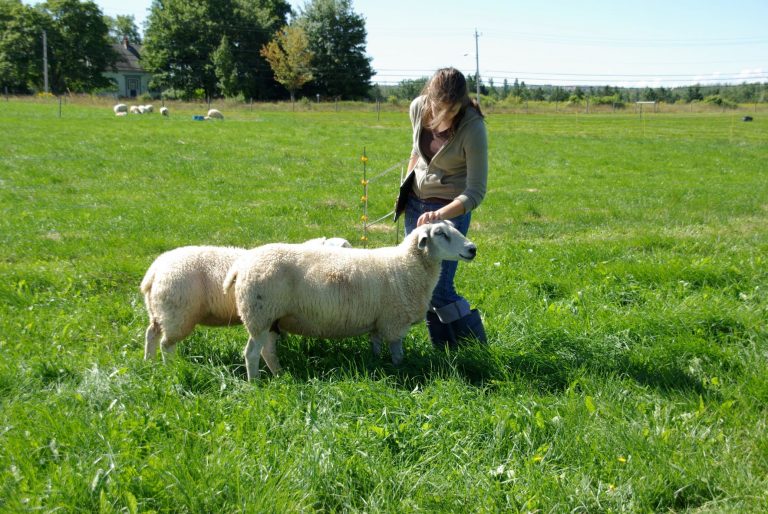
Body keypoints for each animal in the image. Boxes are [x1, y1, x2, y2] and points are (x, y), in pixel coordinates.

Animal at [140, 237, 352, 360]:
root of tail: (155, 270)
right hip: (178, 312)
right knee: (166, 344)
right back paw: (170, 367)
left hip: (158, 311)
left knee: (151, 334)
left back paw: (150, 363)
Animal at [222, 218, 476, 378]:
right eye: (440, 234)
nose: (472, 249)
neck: (407, 265)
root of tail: (242, 264)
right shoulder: (394, 321)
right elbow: (397, 352)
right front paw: (399, 369)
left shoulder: (379, 320)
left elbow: (375, 345)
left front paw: (376, 363)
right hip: (259, 315)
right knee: (252, 353)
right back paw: (255, 384)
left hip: (271, 318)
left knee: (268, 351)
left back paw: (279, 375)